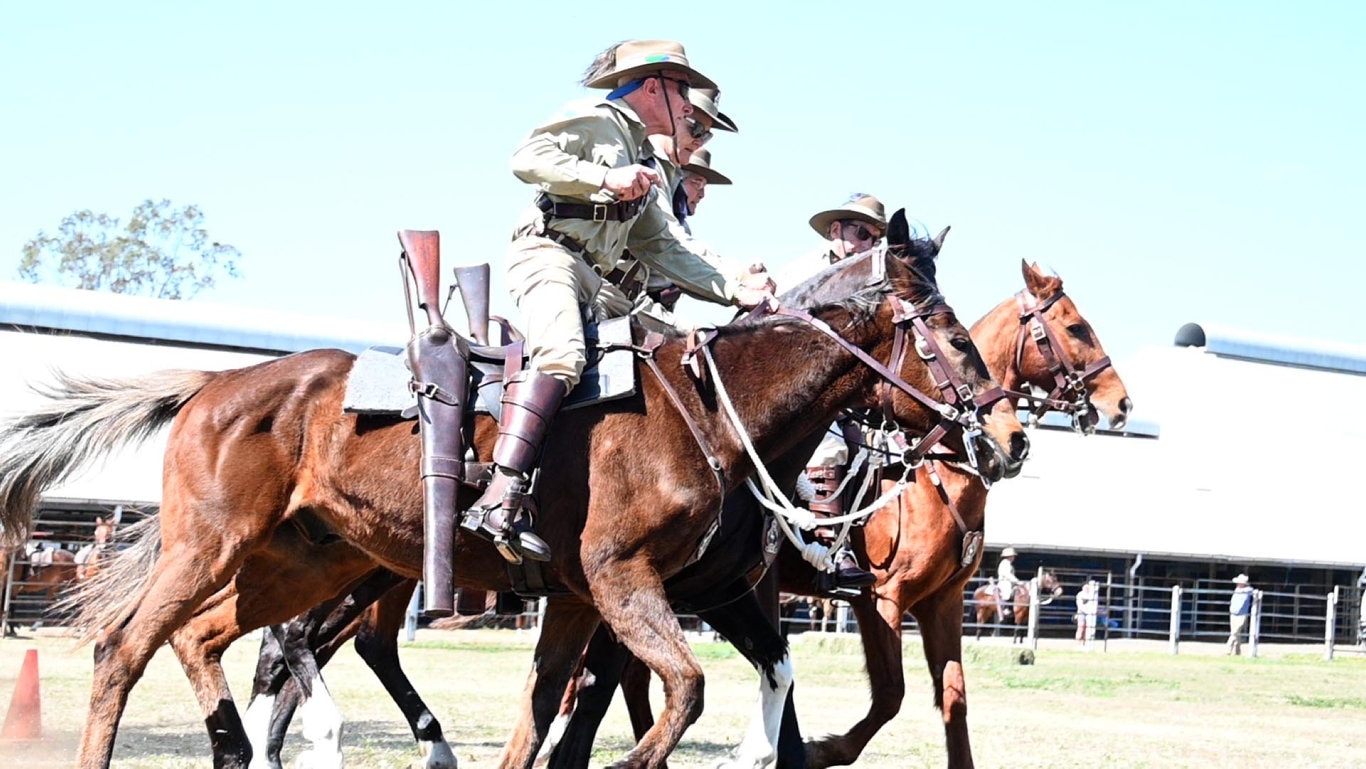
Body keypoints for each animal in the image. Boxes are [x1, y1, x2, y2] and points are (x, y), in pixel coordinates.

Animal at [0, 218, 1027, 769]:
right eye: (949, 333)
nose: (1005, 439)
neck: (704, 410)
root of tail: (213, 385)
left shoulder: (587, 600)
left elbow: (548, 717)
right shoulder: (625, 582)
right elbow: (679, 691)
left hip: (303, 562)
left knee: (209, 639)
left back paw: (238, 744)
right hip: (213, 546)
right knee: (127, 648)